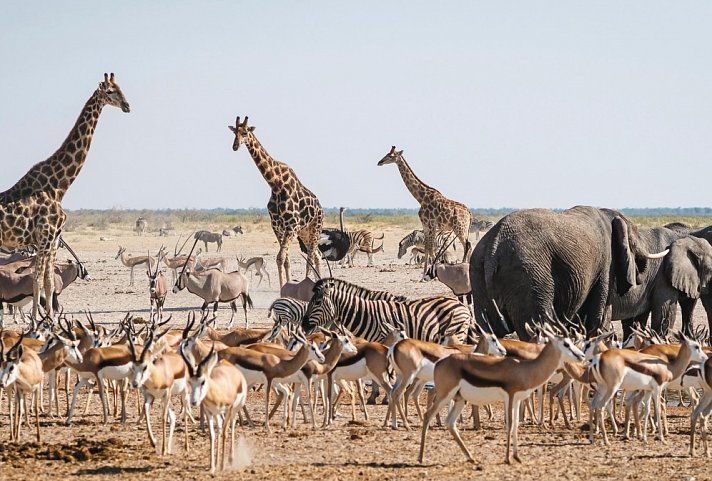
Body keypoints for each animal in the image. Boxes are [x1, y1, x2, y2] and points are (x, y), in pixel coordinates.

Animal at [0, 73, 130, 316]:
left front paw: (48, 320)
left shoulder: (51, 241)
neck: (59, 186)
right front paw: (37, 321)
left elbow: (48, 282)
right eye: (110, 91)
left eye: (121, 88)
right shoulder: (45, 238)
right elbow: (37, 281)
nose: (128, 106)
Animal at [228, 116, 322, 284]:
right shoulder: (277, 226)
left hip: (315, 228)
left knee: (311, 257)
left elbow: (281, 257)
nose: (235, 146)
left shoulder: (292, 226)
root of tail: (321, 208)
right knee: (318, 255)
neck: (276, 184)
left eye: (245, 132)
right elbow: (284, 259)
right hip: (305, 232)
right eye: (234, 133)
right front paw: (284, 286)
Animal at [378, 145, 472, 274]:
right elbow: (427, 248)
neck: (421, 198)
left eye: (391, 155)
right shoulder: (426, 225)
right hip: (464, 229)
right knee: (469, 245)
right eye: (387, 154)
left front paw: (433, 272)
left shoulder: (431, 225)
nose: (379, 162)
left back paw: (462, 266)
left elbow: (431, 250)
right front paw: (424, 274)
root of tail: (469, 213)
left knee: (466, 245)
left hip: (459, 228)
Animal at [470, 205, 672, 338]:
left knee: (488, 331)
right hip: (528, 276)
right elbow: (596, 319)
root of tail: (494, 245)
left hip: (478, 272)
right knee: (536, 328)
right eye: (633, 242)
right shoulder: (606, 264)